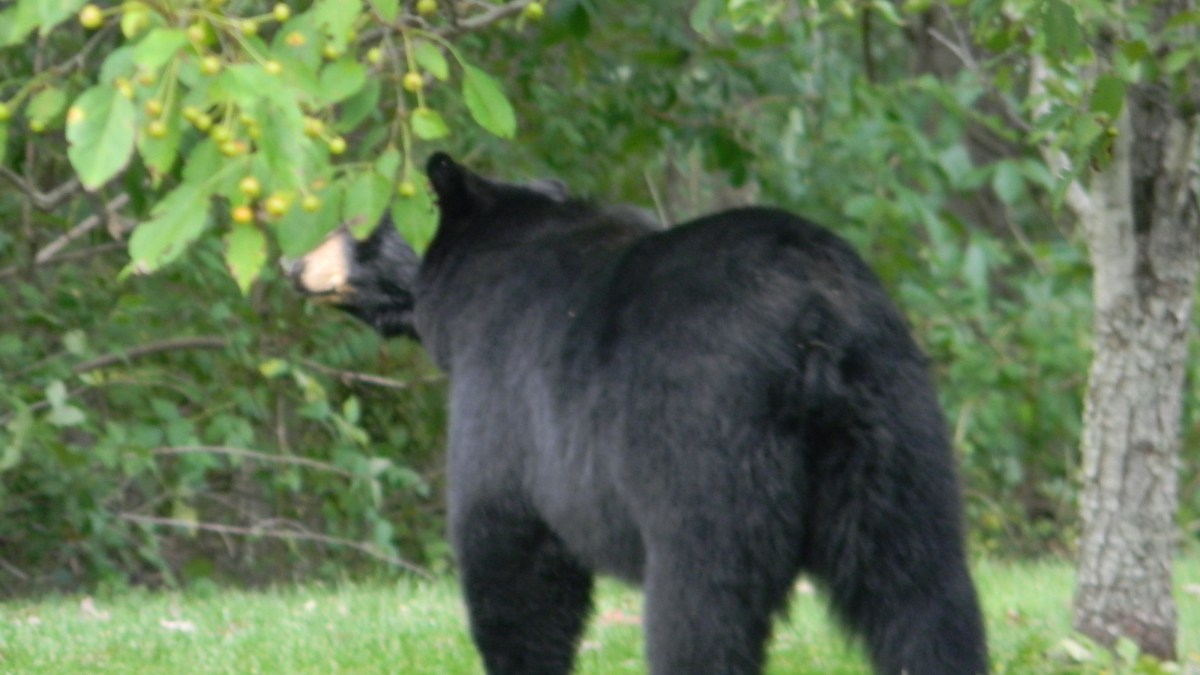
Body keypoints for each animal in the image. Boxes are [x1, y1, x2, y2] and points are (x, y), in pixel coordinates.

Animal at [288, 153, 988, 675]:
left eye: (356, 219)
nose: (293, 262)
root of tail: (816, 318)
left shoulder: (505, 395)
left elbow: (509, 551)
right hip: (891, 428)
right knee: (921, 588)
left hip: (705, 444)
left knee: (702, 609)